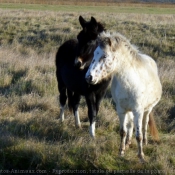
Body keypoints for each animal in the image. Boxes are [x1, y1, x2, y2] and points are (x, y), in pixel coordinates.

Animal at [85, 32, 162, 162]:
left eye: (104, 56)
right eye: (94, 54)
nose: (89, 77)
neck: (130, 82)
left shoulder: (138, 111)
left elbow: (138, 135)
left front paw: (141, 156)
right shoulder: (121, 110)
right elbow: (123, 131)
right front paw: (121, 152)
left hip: (147, 109)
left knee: (145, 123)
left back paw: (145, 141)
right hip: (129, 110)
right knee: (130, 125)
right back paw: (127, 143)